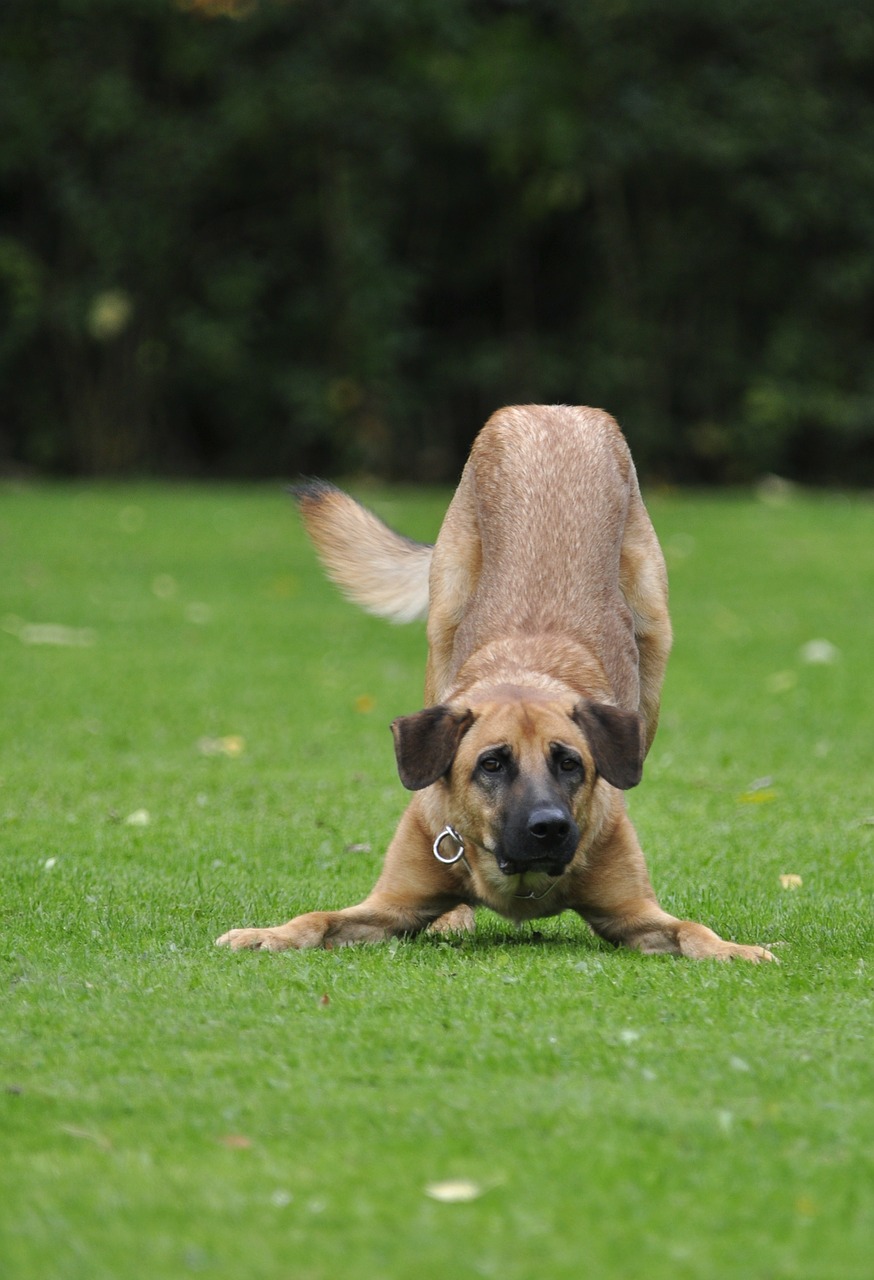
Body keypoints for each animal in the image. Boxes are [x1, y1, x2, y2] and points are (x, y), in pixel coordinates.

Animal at [214, 407, 778, 962]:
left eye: (570, 763)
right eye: (491, 763)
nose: (550, 827)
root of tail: (553, 411)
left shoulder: (635, 913)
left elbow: (692, 929)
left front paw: (736, 949)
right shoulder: (389, 905)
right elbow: (316, 918)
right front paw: (266, 934)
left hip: (653, 647)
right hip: (443, 625)